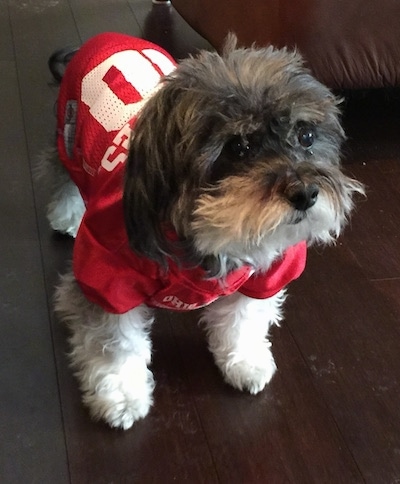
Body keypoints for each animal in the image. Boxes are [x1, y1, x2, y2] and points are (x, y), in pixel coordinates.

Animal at [41, 32, 366, 430]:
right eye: (238, 146)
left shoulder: (263, 275)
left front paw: (243, 361)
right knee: (61, 175)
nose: (305, 193)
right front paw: (120, 394)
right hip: (67, 137)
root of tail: (104, 37)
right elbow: (115, 342)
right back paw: (66, 217)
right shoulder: (107, 276)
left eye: (306, 135)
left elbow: (242, 320)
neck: (208, 238)